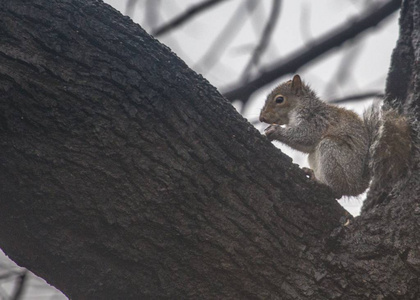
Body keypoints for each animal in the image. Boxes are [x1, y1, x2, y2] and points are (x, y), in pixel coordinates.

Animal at [260, 74, 412, 198]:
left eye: (279, 99)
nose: (262, 118)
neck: (300, 106)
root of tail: (358, 185)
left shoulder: (315, 119)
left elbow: (306, 136)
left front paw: (275, 130)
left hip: (332, 151)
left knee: (337, 191)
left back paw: (322, 184)